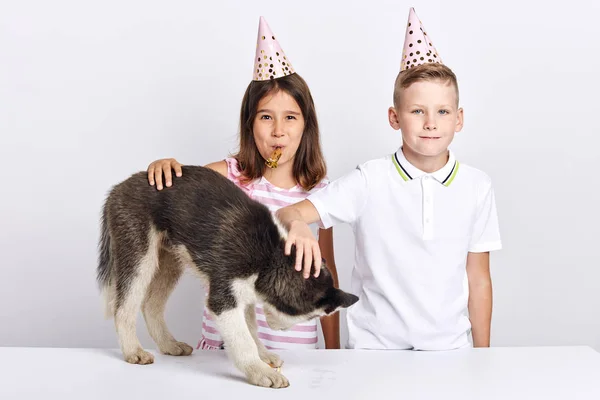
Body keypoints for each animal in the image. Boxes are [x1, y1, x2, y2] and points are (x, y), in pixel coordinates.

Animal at [96, 165, 358, 388]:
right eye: (312, 317)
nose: (282, 330)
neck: (271, 255)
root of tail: (117, 189)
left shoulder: (245, 298)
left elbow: (252, 331)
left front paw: (264, 356)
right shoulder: (223, 300)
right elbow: (243, 340)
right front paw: (259, 371)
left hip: (171, 259)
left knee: (151, 305)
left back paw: (169, 344)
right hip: (140, 254)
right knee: (124, 307)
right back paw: (133, 350)